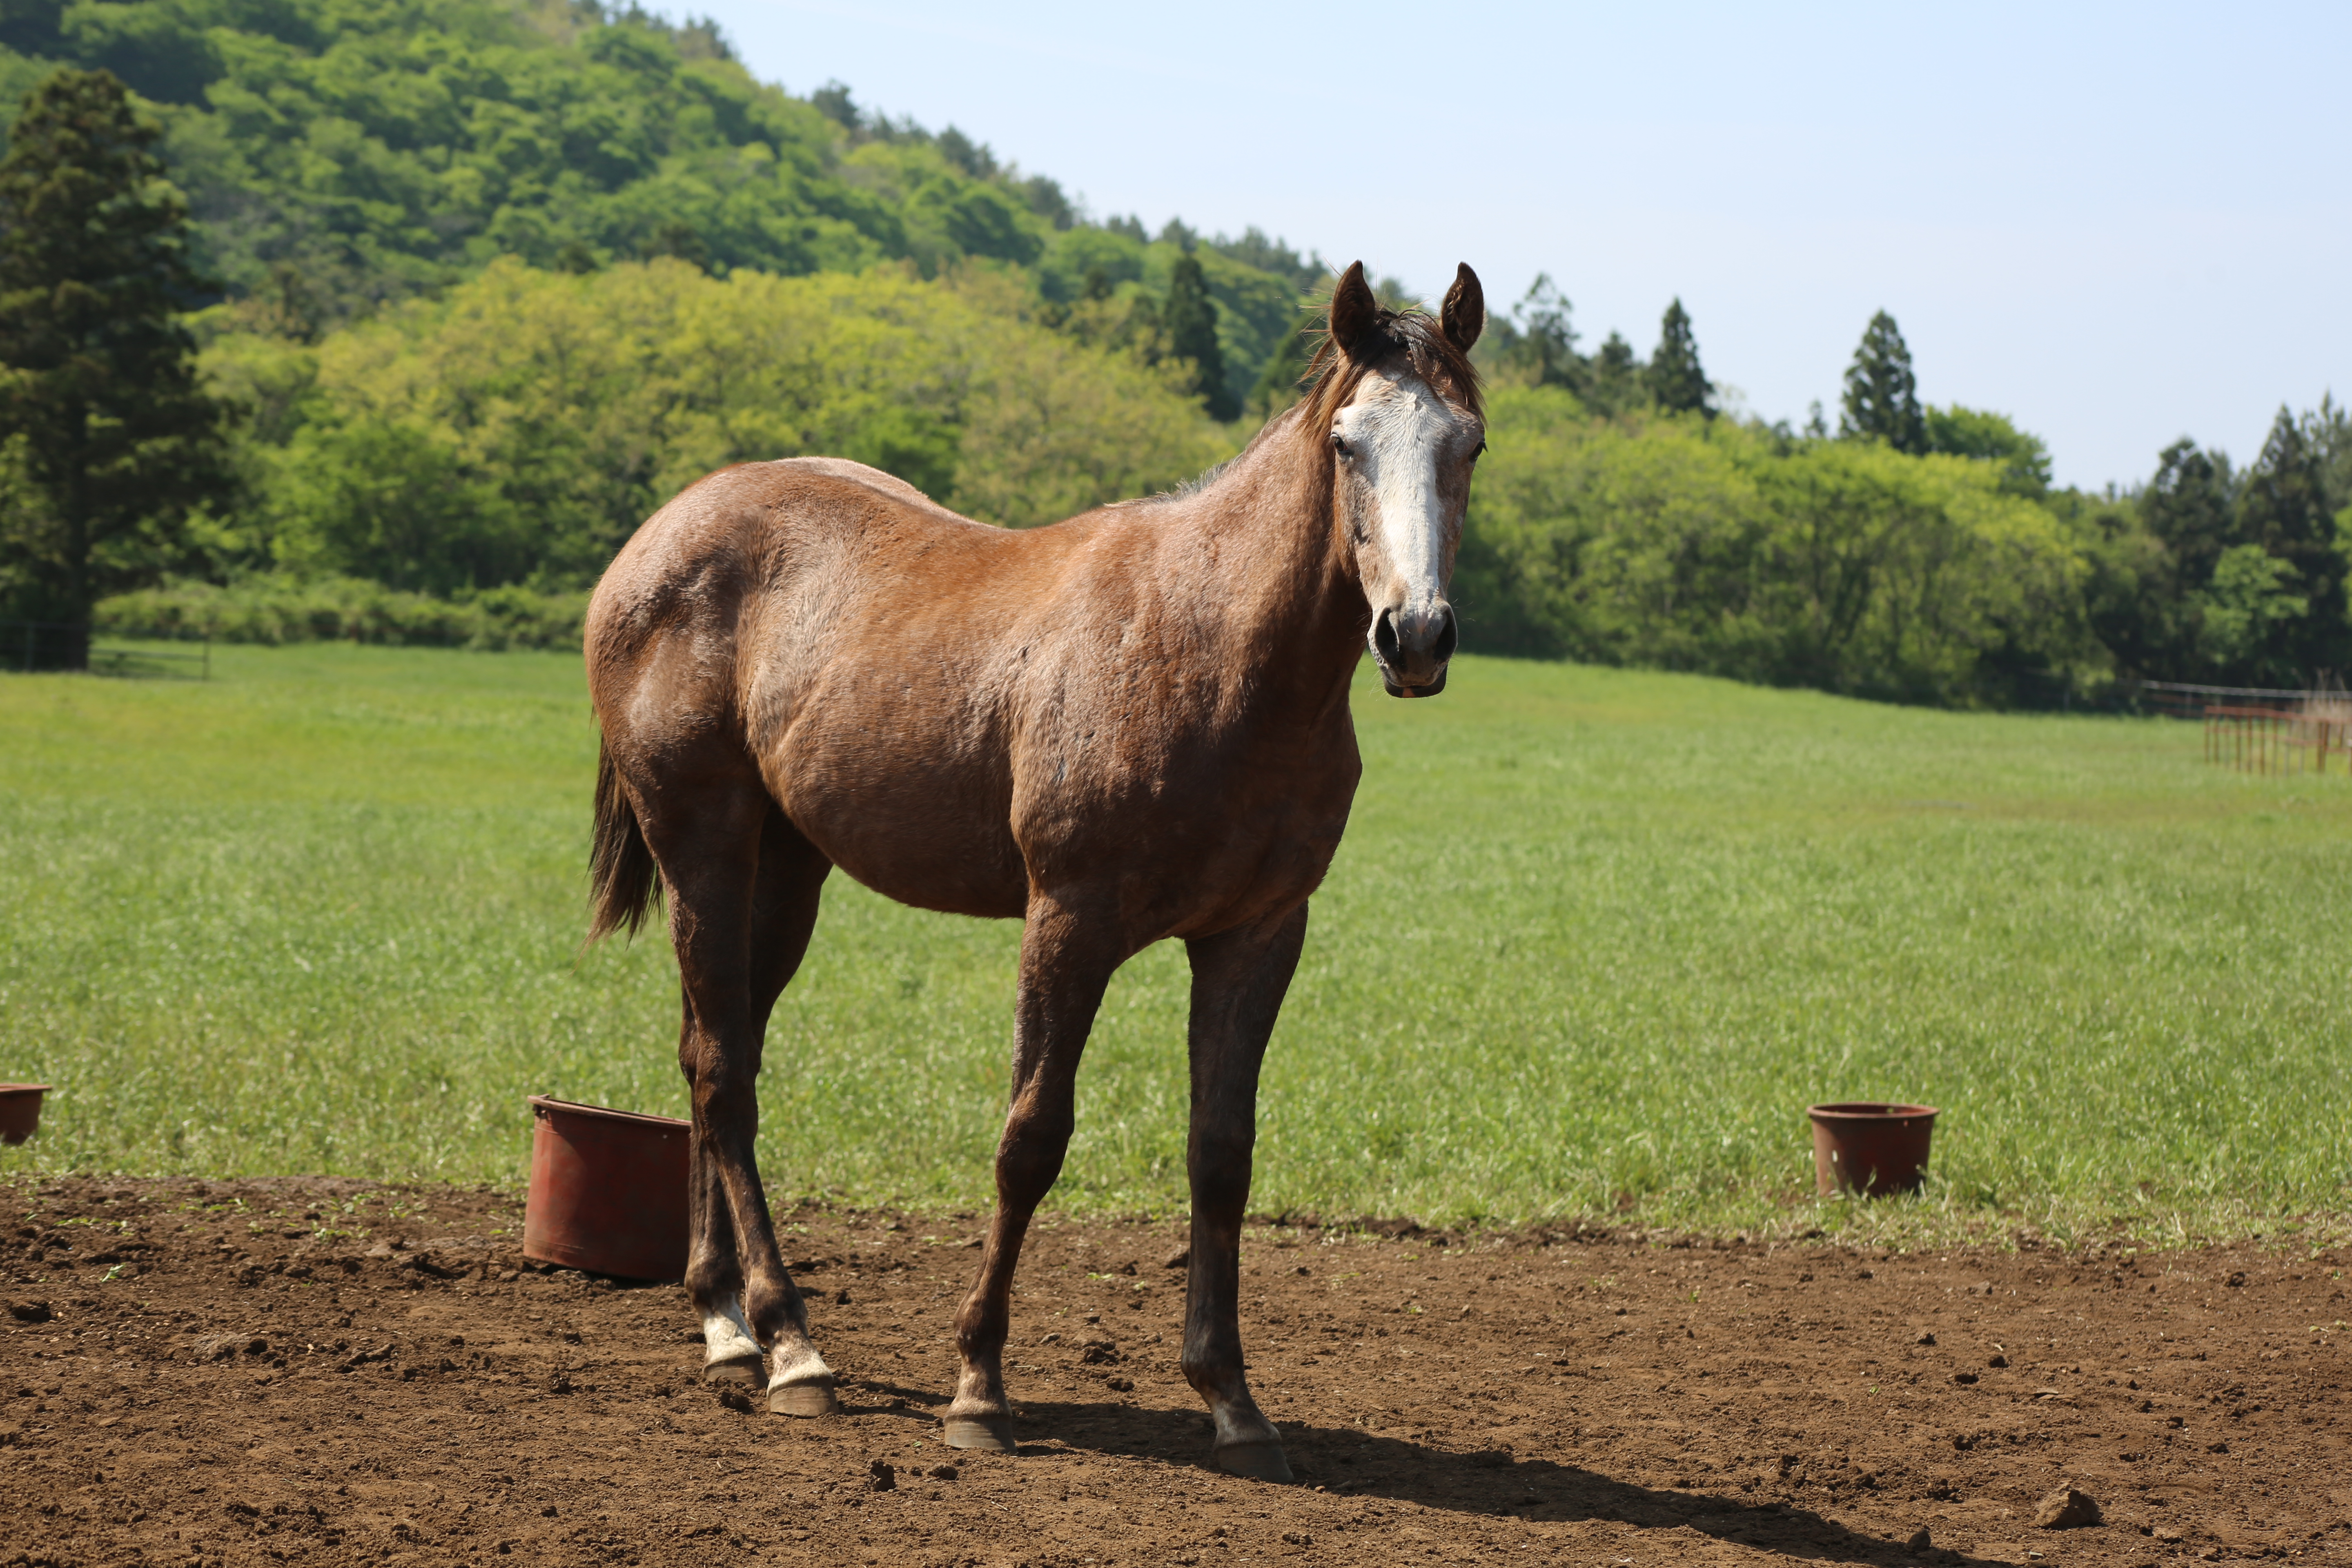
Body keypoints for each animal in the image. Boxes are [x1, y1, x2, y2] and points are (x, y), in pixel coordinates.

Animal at [581, 261, 1477, 1486]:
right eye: (1347, 444)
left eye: (1465, 442)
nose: (1414, 635)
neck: (1212, 653)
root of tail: (664, 534)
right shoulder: (1069, 921)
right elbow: (1030, 1140)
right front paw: (979, 1387)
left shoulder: (1257, 935)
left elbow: (1222, 1153)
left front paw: (1228, 1393)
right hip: (702, 847)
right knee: (722, 1071)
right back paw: (790, 1343)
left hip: (787, 870)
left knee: (713, 1055)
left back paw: (724, 1317)